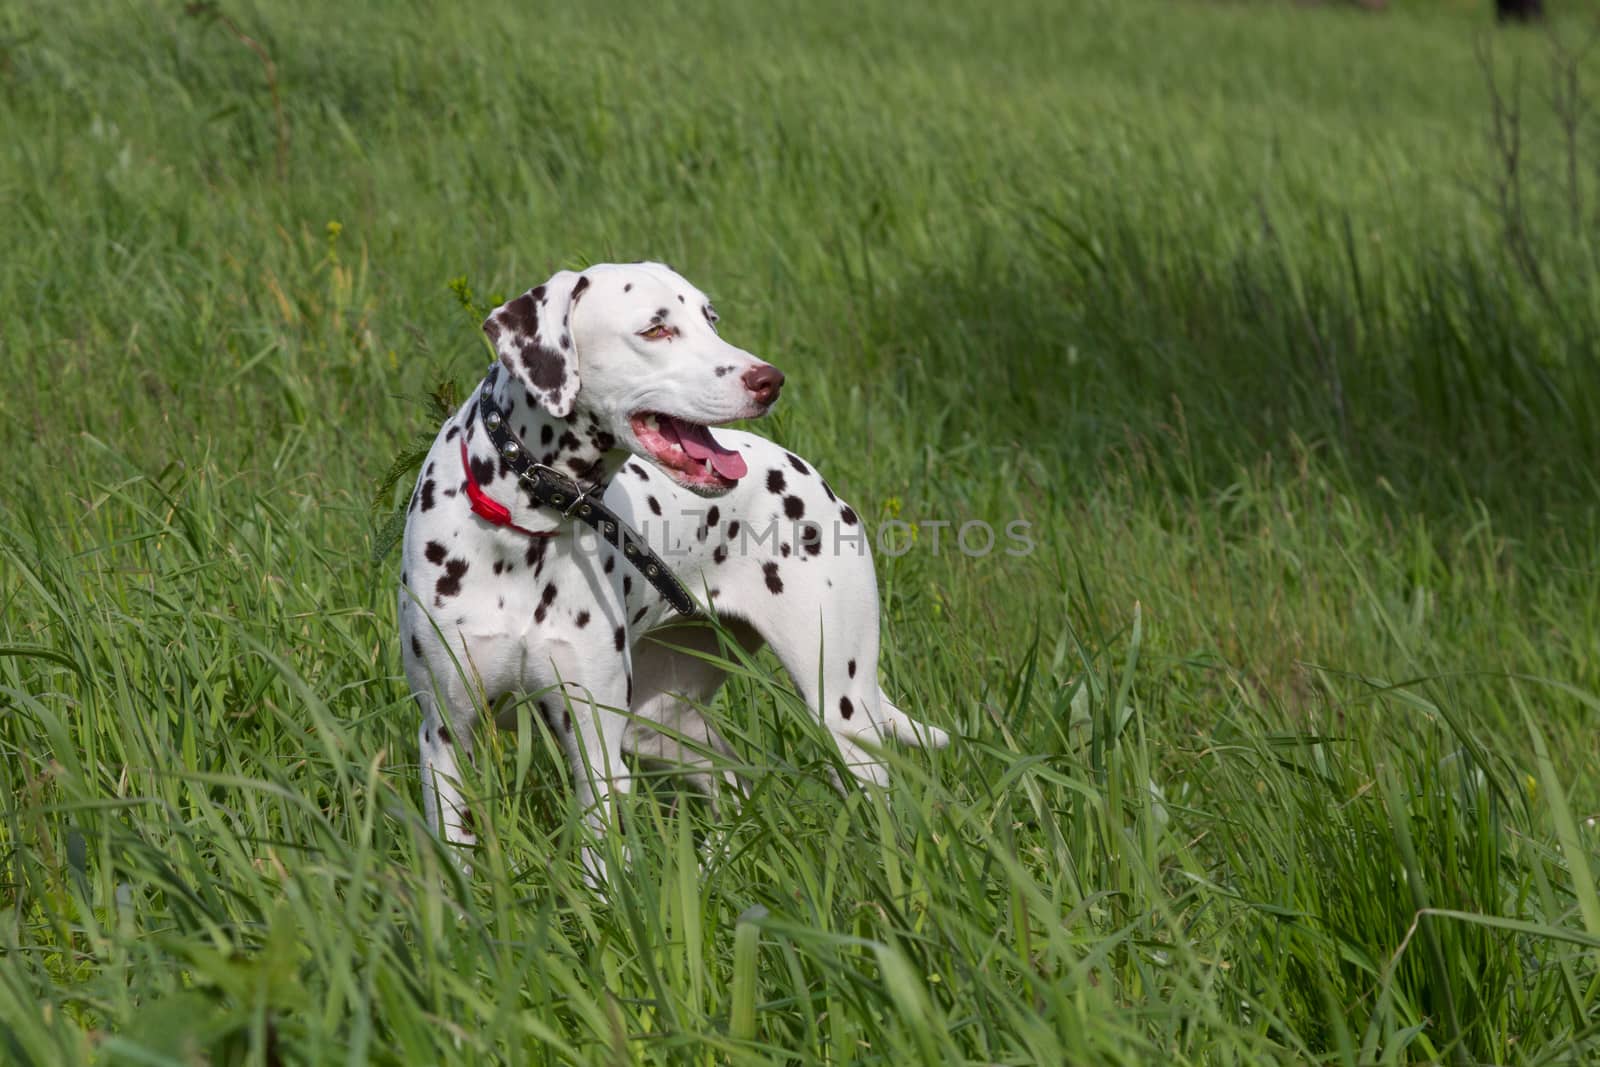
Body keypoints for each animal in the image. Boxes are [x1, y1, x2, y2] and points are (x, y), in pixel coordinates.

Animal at [400, 260, 947, 883]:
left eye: (710, 319)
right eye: (656, 329)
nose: (770, 380)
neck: (524, 527)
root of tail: (814, 477)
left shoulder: (597, 749)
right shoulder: (445, 738)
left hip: (842, 713)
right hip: (660, 723)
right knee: (733, 783)